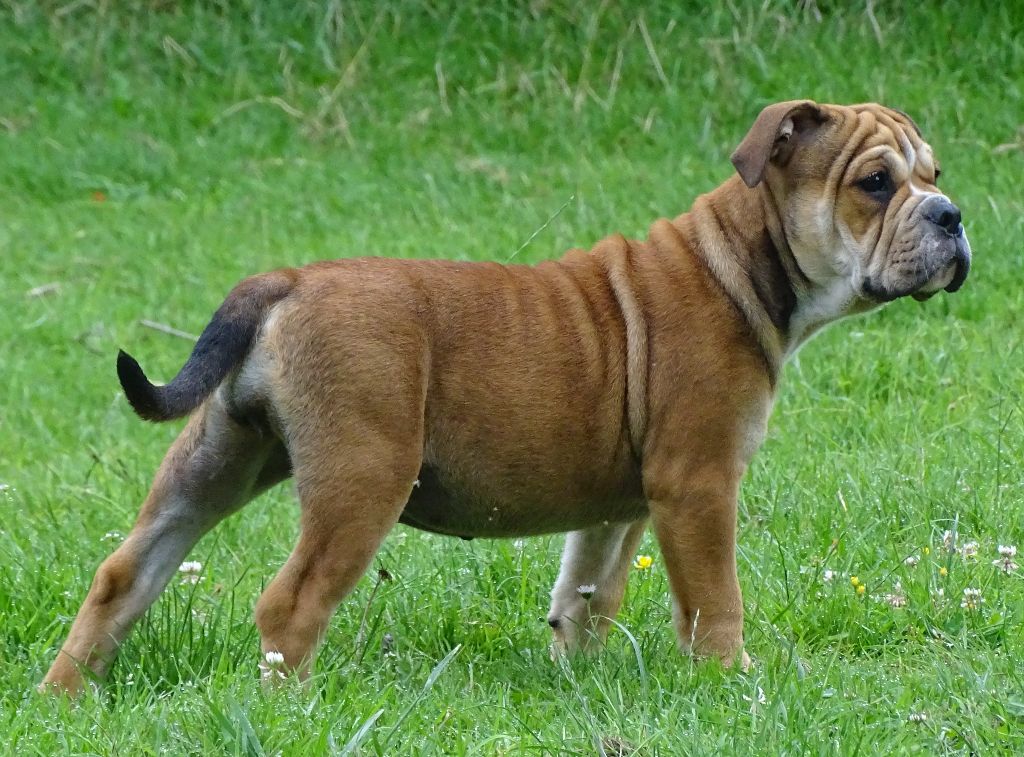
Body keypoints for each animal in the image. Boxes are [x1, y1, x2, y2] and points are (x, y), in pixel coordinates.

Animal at [42, 101, 970, 694]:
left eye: (933, 174)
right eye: (876, 183)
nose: (953, 214)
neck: (740, 260)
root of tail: (289, 281)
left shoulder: (620, 507)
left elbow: (587, 595)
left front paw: (580, 677)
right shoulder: (699, 485)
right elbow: (715, 598)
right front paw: (730, 681)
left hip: (215, 461)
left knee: (123, 575)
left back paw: (65, 696)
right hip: (360, 479)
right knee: (288, 603)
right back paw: (287, 712)